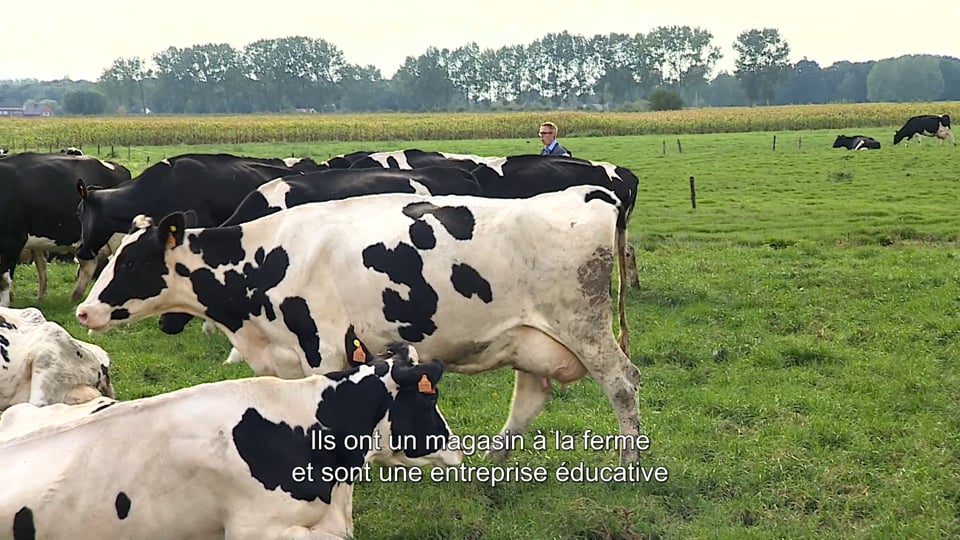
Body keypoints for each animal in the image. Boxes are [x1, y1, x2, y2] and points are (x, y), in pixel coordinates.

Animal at [75, 186, 643, 464]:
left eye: (130, 263)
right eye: (115, 257)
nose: (84, 311)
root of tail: (588, 194)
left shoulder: (323, 345)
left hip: (585, 326)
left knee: (622, 383)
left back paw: (629, 463)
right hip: (530, 337)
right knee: (529, 397)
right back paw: (492, 463)